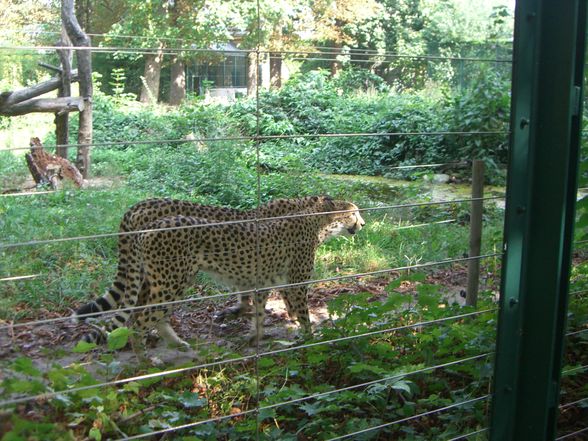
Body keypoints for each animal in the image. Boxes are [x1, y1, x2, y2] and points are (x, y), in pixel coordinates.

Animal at [82, 196, 362, 344]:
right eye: (354, 213)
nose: (363, 223)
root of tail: (140, 206)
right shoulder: (288, 277)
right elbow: (297, 307)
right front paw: (306, 333)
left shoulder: (263, 276)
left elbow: (258, 305)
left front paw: (255, 331)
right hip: (166, 278)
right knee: (140, 313)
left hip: (165, 278)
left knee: (143, 310)